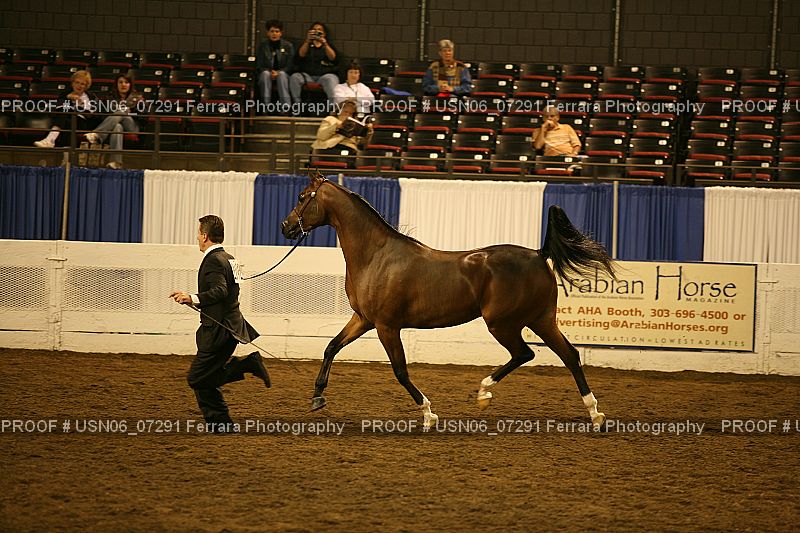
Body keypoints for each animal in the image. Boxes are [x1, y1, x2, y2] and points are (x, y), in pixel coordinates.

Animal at [280, 171, 616, 430]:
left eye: (301, 196)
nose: (285, 227)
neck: (377, 256)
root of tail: (538, 253)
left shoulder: (387, 326)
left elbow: (400, 371)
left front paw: (429, 414)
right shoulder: (363, 319)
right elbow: (331, 347)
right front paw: (317, 398)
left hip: (503, 324)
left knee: (525, 353)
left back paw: (484, 393)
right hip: (541, 320)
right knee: (569, 355)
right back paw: (595, 414)